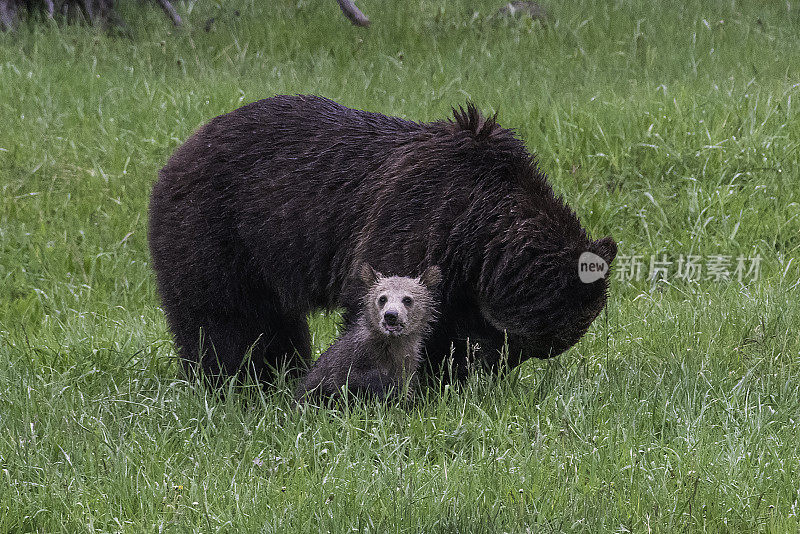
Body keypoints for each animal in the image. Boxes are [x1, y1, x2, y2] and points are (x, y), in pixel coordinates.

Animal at [147, 96, 616, 388]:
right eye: (521, 344)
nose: (494, 367)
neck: (477, 225)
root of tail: (178, 152)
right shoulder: (414, 218)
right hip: (220, 230)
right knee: (226, 318)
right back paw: (238, 380)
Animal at [296, 266, 440, 404]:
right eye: (382, 298)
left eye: (407, 299)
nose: (391, 315)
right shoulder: (347, 362)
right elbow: (347, 382)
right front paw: (390, 387)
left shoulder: (407, 362)